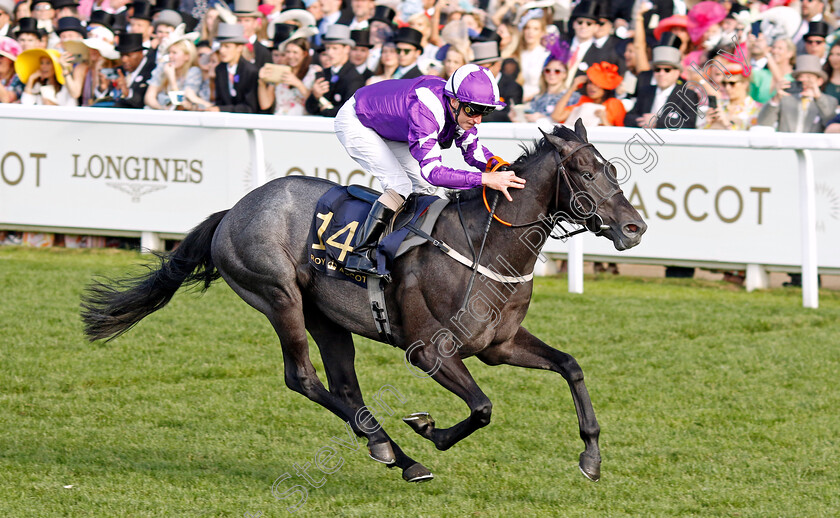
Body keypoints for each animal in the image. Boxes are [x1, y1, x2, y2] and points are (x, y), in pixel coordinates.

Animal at [80, 122, 644, 484]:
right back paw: (400, 452)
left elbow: (570, 366)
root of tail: (233, 210)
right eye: (587, 174)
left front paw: (591, 458)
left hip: (326, 317)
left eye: (613, 169)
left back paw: (390, 451)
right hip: (278, 296)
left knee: (343, 386)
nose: (635, 227)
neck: (487, 246)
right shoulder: (428, 351)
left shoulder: (498, 345)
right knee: (303, 378)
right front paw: (429, 429)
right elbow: (482, 408)